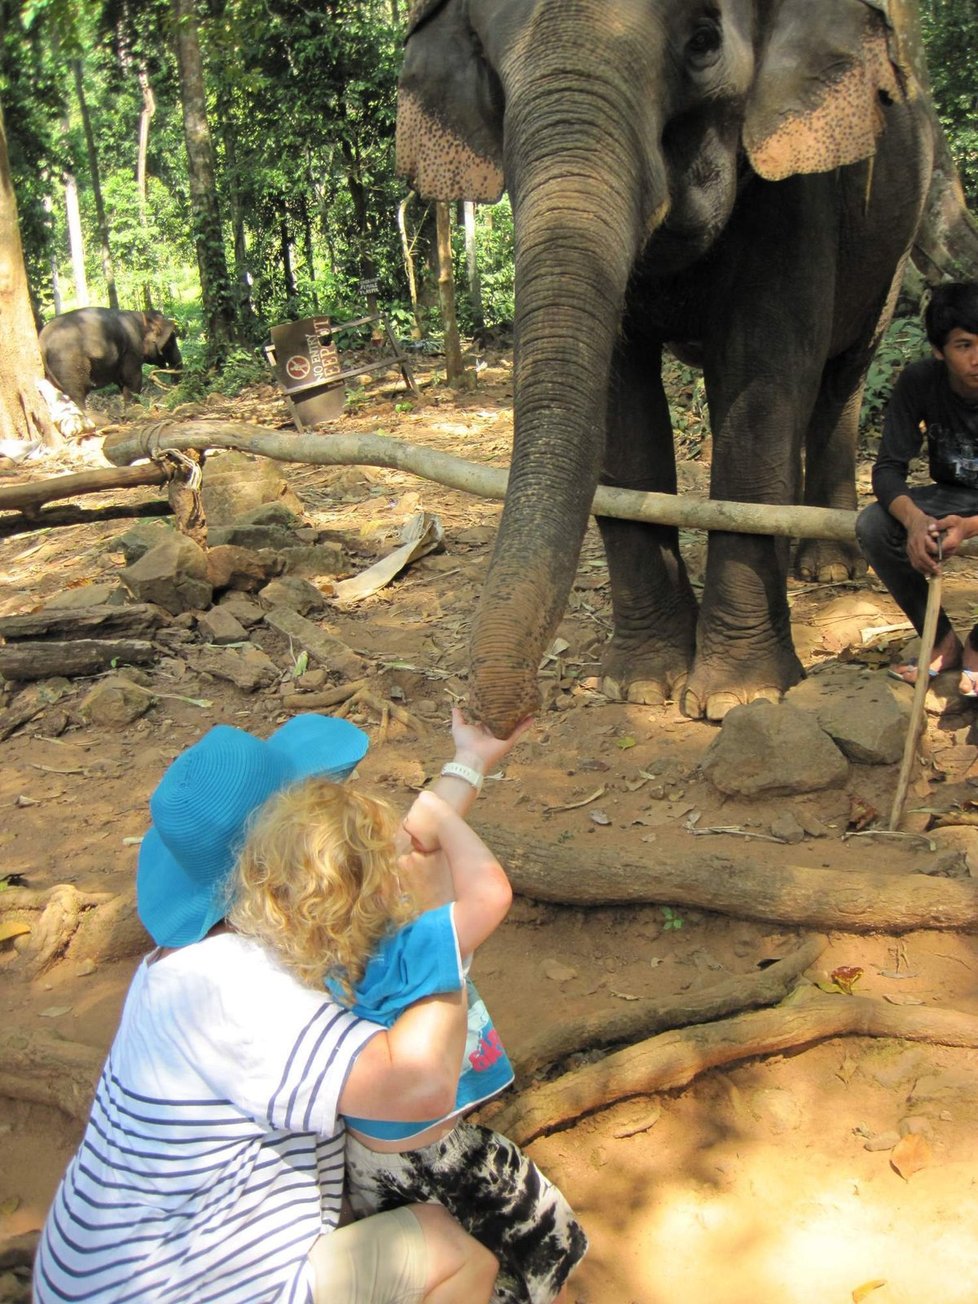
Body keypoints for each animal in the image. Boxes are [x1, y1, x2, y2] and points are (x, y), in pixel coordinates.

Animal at [39, 305, 182, 406]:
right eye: (170, 342)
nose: (175, 389)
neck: (142, 317)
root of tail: (41, 340)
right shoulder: (131, 349)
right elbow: (132, 379)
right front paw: (136, 410)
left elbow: (121, 381)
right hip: (68, 363)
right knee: (77, 393)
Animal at [396, 0, 933, 735]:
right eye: (490, 70)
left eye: (704, 43)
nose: (497, 716)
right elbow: (623, 412)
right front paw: (639, 686)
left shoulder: (800, 193)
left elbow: (760, 385)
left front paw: (742, 696)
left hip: (896, 242)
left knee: (841, 380)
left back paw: (826, 571)